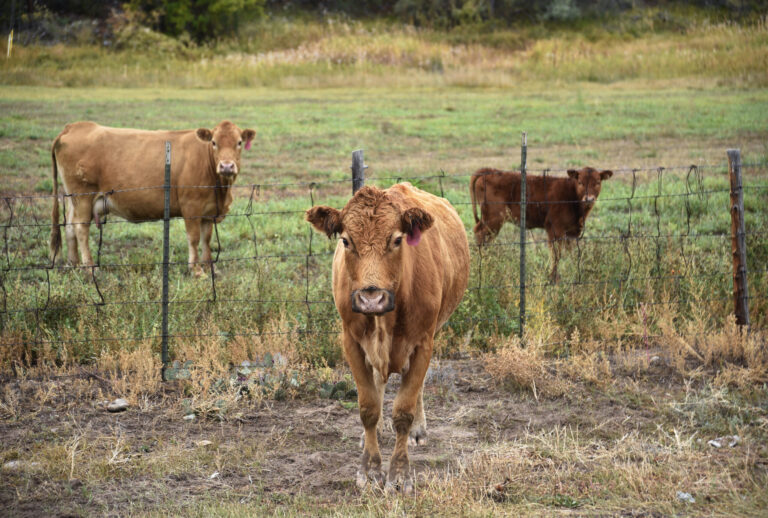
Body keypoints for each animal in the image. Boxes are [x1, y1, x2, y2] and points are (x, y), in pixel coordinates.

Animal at [49, 120, 255, 275]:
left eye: (238, 142)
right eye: (213, 142)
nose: (226, 166)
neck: (220, 188)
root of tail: (75, 126)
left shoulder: (209, 211)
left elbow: (206, 239)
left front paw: (211, 269)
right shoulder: (191, 207)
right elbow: (194, 238)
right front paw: (196, 270)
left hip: (73, 198)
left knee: (69, 226)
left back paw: (73, 264)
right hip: (83, 196)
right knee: (80, 228)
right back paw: (90, 267)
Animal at [306, 183, 470, 493]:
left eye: (396, 240)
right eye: (346, 240)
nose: (372, 298)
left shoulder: (423, 343)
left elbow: (404, 410)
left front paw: (400, 473)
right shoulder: (351, 342)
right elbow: (368, 406)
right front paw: (370, 470)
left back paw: (418, 430)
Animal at [470, 166, 613, 282]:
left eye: (598, 182)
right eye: (580, 182)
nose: (589, 199)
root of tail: (489, 170)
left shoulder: (572, 232)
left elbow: (571, 253)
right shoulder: (555, 229)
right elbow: (556, 255)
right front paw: (553, 278)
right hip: (493, 218)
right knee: (480, 234)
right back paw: (482, 263)